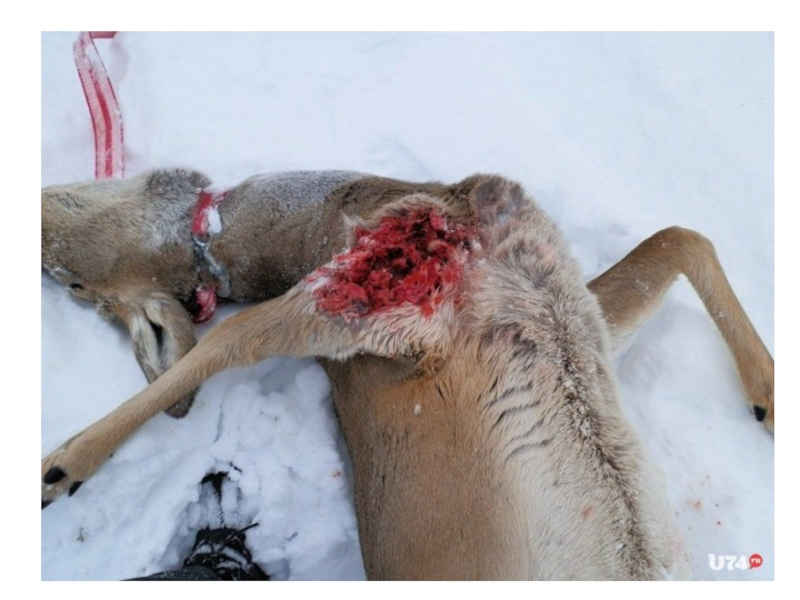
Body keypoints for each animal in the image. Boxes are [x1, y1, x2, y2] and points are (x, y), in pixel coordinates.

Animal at [41, 168, 774, 579]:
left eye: (73, 281)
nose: (41, 219)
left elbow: (681, 236)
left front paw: (769, 399)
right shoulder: (380, 306)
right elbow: (232, 340)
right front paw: (61, 467)